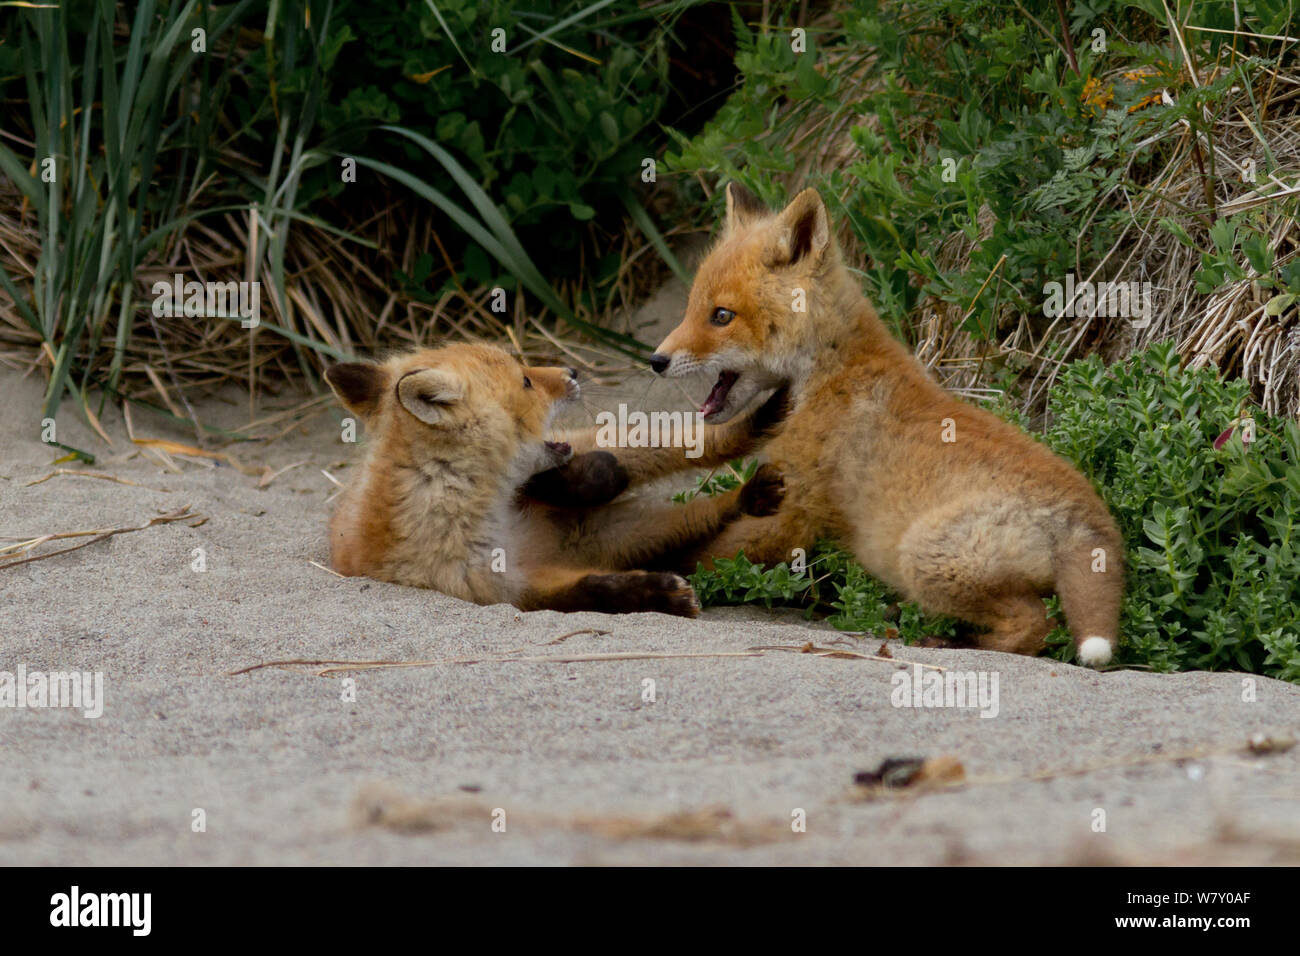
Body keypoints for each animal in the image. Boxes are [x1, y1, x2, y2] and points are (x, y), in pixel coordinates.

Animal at [323, 342, 786, 617]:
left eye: (523, 369)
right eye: (527, 381)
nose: (572, 372)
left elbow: (611, 468)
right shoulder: (506, 586)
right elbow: (590, 591)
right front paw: (657, 593)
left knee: (684, 443)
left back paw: (758, 422)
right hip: (616, 531)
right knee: (698, 513)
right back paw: (748, 496)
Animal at [640, 183, 1125, 665]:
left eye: (721, 316)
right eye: (690, 309)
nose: (656, 361)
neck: (829, 370)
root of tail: (1091, 517)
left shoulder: (792, 514)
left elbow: (698, 553)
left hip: (924, 557)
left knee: (1033, 628)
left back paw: (946, 641)